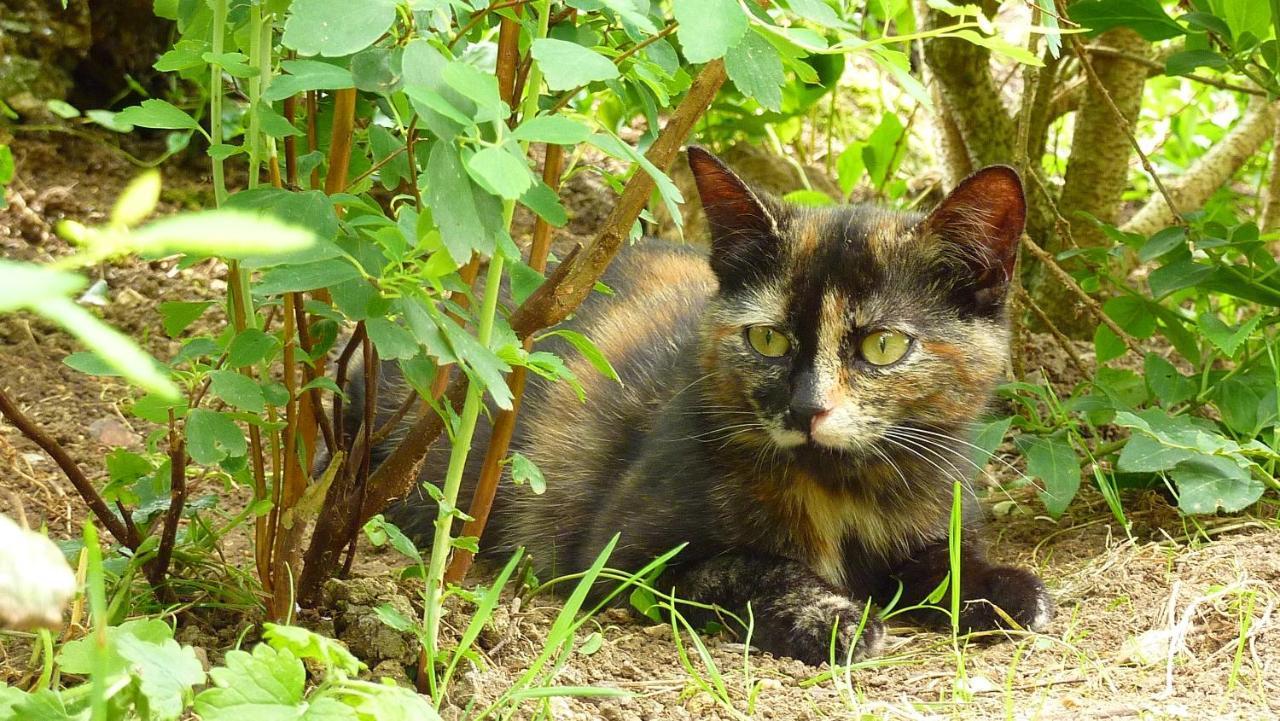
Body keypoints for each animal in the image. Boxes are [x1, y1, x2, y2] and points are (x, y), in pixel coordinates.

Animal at [368, 146, 1049, 665]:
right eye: (768, 338)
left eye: (882, 345)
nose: (806, 408)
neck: (837, 489)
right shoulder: (622, 558)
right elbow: (751, 567)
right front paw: (830, 617)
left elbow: (945, 560)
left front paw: (1003, 588)